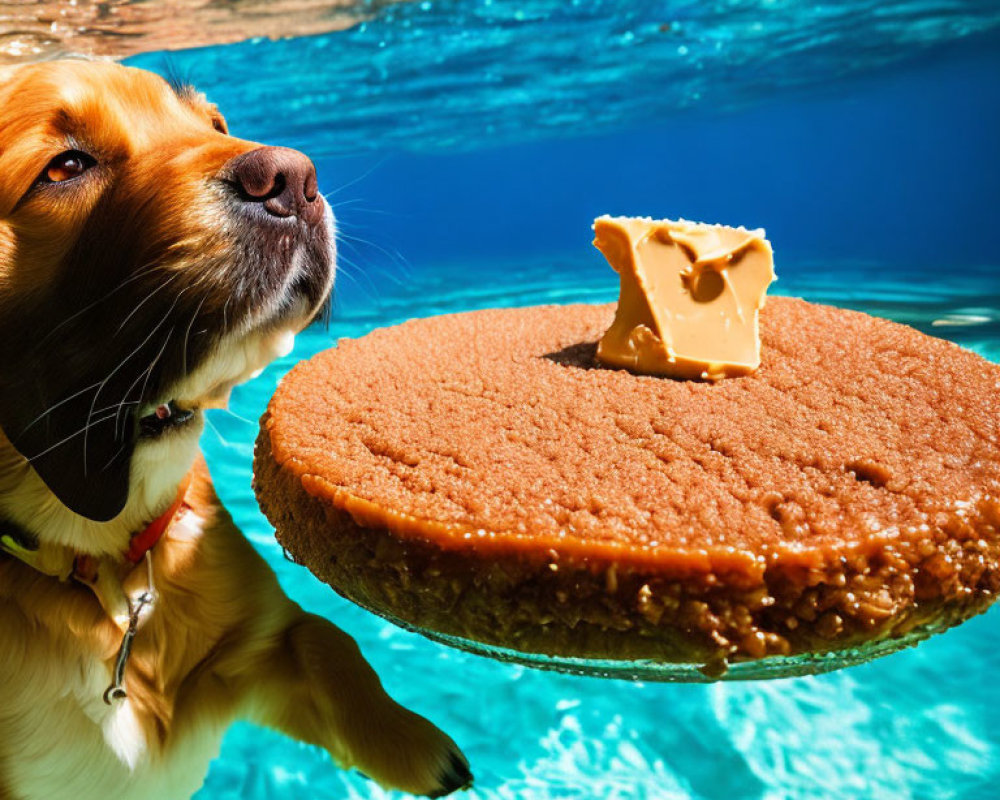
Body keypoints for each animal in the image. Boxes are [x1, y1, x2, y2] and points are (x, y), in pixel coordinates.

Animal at [0, 59, 472, 796]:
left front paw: (410, 742)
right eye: (65, 166)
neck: (106, 568)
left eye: (213, 125)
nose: (295, 178)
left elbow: (328, 641)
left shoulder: (257, 644)